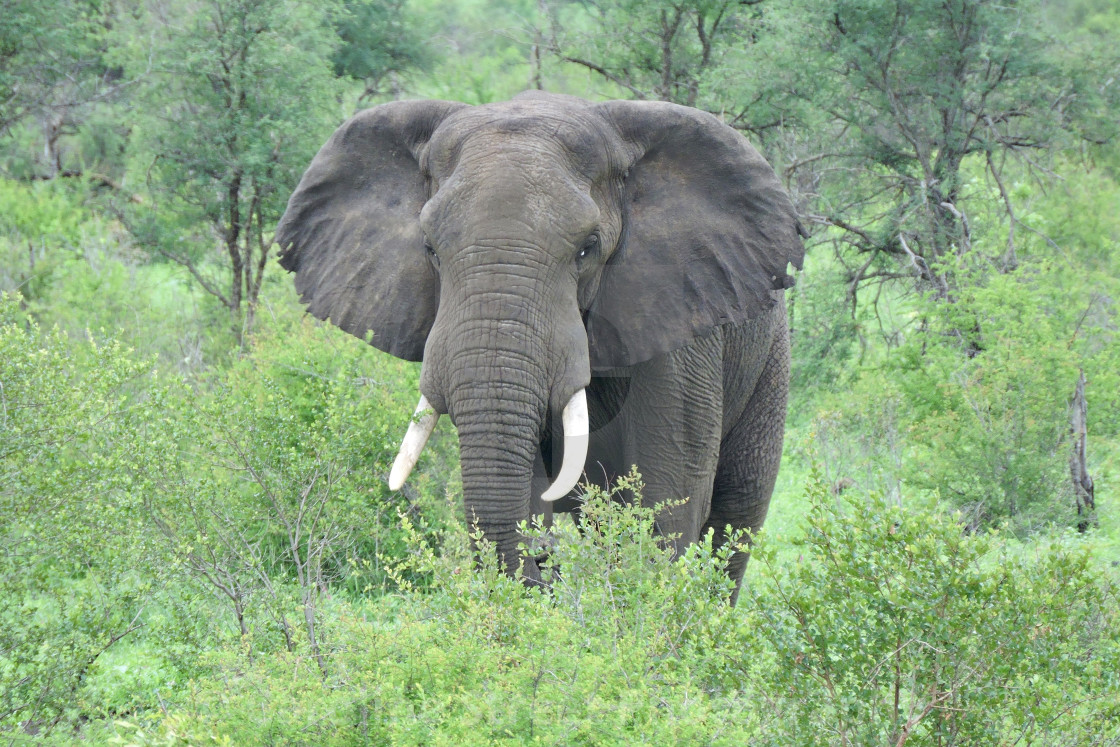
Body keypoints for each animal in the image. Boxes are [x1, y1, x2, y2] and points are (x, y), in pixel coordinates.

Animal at [278, 91, 806, 600]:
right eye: (429, 249)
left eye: (587, 248)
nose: (544, 556)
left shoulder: (676, 327)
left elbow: (666, 498)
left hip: (770, 359)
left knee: (737, 512)